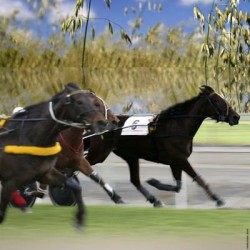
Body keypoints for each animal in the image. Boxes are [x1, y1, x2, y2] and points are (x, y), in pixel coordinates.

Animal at [0, 82, 106, 229]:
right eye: (79, 102)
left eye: (94, 102)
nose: (103, 123)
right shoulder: (12, 180)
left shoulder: (48, 171)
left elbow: (75, 183)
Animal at [85, 86, 240, 207]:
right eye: (217, 101)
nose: (236, 117)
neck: (177, 126)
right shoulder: (180, 159)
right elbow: (198, 179)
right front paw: (218, 199)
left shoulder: (175, 161)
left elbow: (178, 186)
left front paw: (155, 182)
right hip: (99, 153)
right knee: (84, 166)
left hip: (130, 156)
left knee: (135, 180)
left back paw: (150, 200)